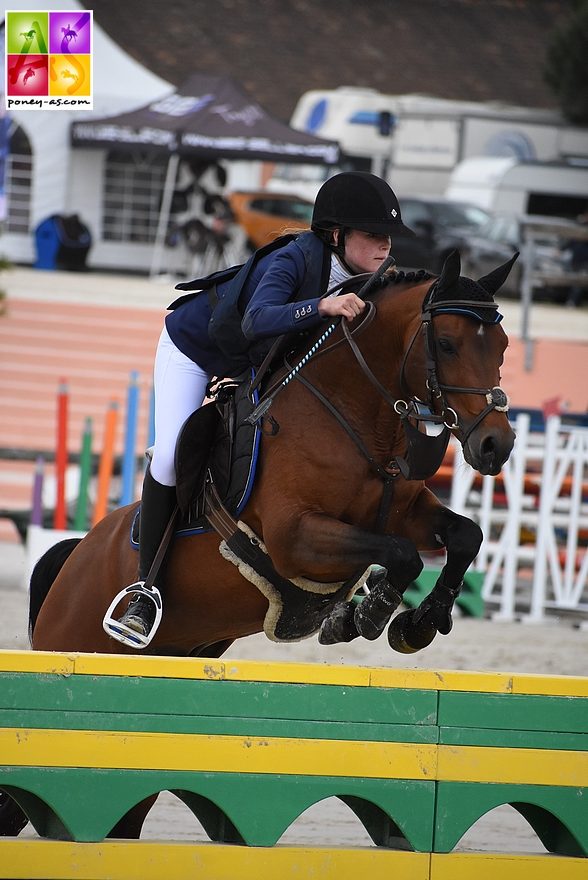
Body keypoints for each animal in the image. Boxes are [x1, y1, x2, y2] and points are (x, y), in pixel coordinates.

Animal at [1, 249, 516, 840]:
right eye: (448, 344)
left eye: (502, 347)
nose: (496, 445)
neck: (355, 411)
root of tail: (74, 557)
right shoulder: (297, 537)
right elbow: (399, 554)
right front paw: (368, 614)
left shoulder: (405, 512)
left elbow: (465, 535)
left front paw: (419, 622)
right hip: (76, 649)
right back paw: (138, 609)